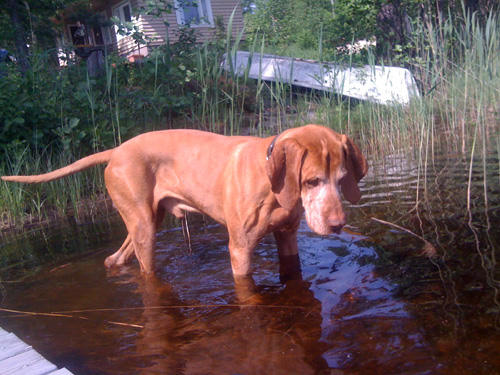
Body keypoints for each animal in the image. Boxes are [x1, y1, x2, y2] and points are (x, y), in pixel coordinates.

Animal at [0, 125, 368, 280]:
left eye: (341, 180)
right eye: (312, 181)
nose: (338, 225)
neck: (272, 185)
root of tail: (116, 150)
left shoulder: (287, 237)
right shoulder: (240, 249)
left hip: (146, 221)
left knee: (114, 258)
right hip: (145, 229)